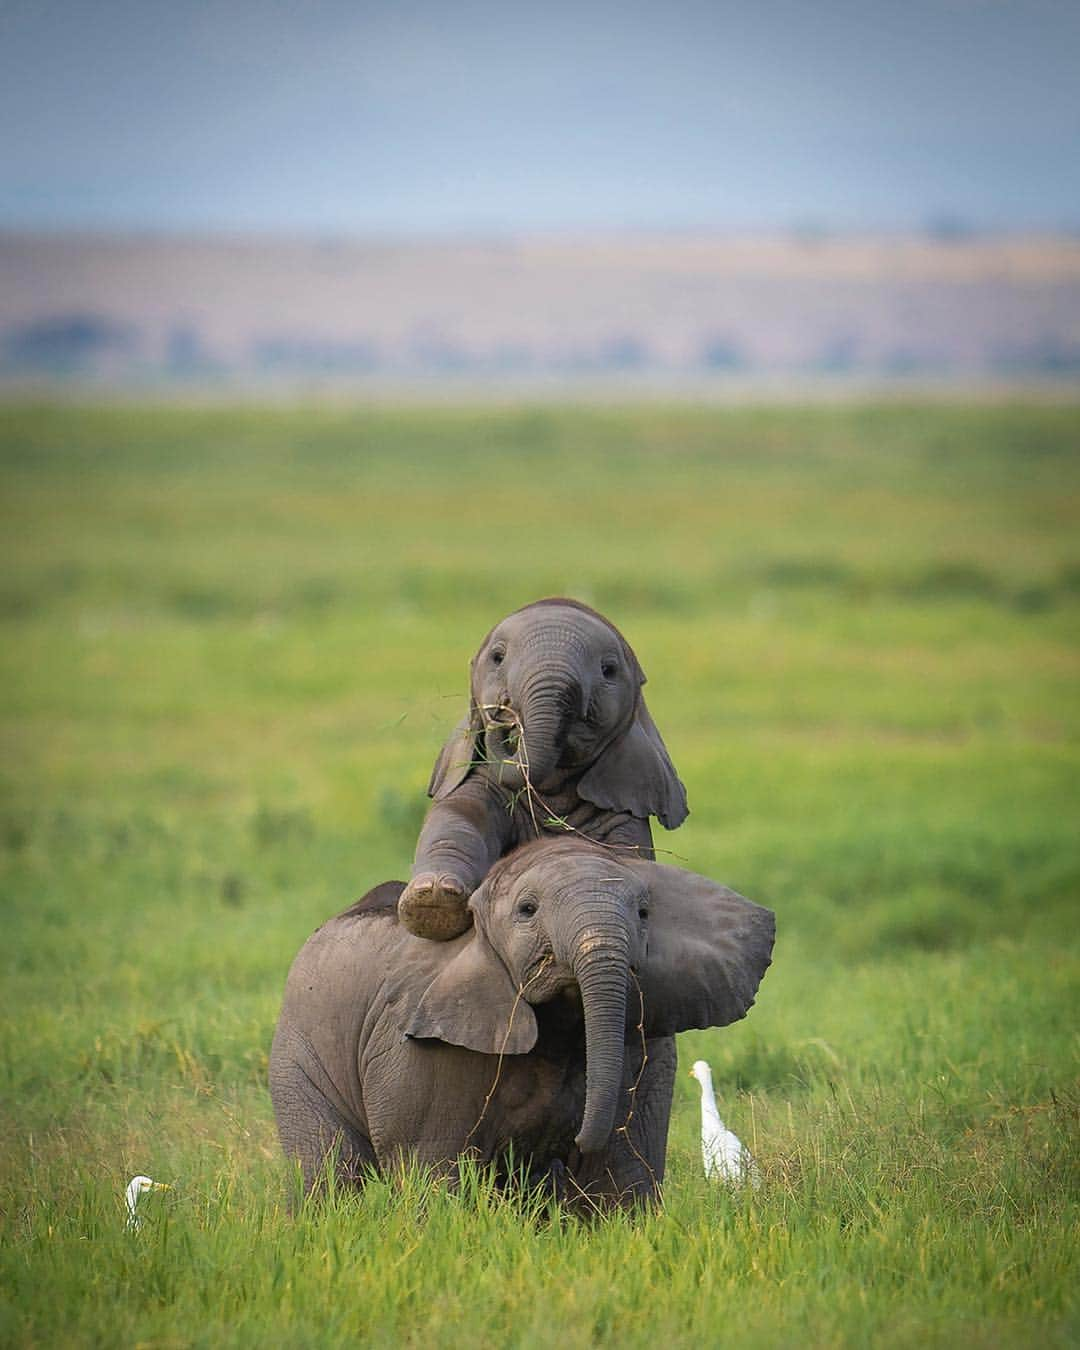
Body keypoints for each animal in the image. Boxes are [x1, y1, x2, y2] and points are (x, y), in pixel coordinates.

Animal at [272, 831, 777, 1215]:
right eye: (527, 910)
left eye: (644, 913)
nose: (573, 1141)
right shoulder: (421, 1047)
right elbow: (433, 1167)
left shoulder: (644, 1044)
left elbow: (620, 1172)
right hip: (299, 1048)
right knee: (329, 1170)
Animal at [399, 602, 691, 939]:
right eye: (497, 657)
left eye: (608, 670)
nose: (503, 710)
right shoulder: (478, 778)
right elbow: (459, 817)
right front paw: (432, 901)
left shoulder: (623, 804)